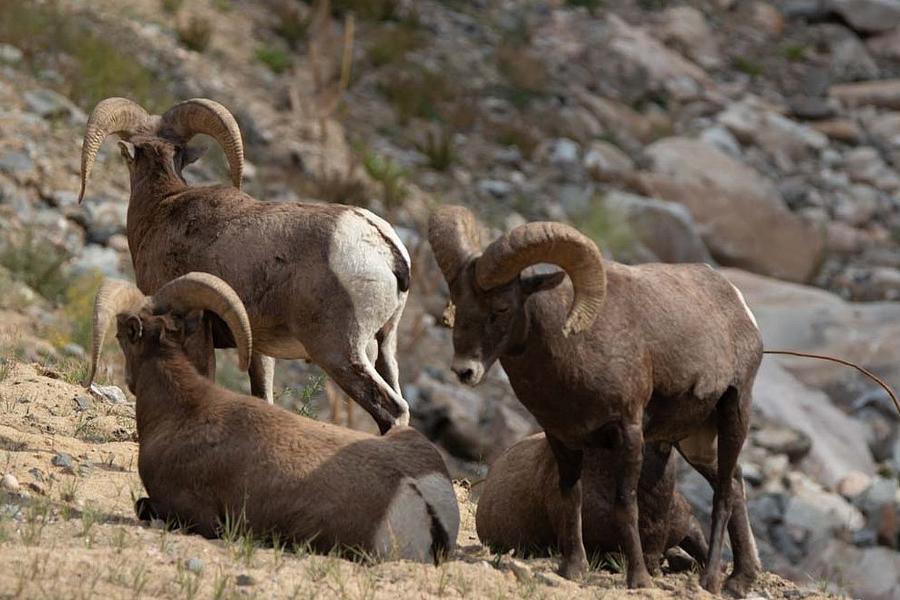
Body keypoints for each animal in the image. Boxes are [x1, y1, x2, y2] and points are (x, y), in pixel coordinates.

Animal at [79, 96, 410, 434]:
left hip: (339, 352)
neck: (163, 206)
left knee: (393, 410)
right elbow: (262, 395)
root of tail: (384, 246)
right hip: (384, 347)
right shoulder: (259, 350)